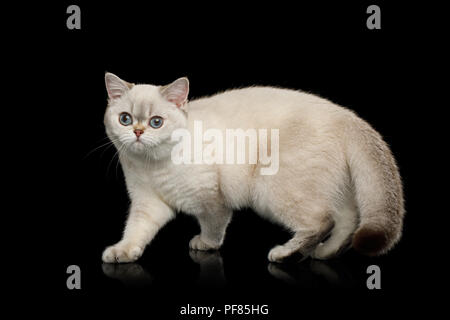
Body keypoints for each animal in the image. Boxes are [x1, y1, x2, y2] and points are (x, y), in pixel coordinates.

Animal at [101, 72, 404, 262]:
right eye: (125, 119)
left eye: (156, 122)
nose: (138, 132)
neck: (152, 166)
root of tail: (348, 116)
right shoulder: (148, 203)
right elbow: (136, 231)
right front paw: (121, 253)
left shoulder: (211, 199)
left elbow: (214, 226)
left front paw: (205, 245)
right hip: (332, 190)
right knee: (346, 221)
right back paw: (324, 253)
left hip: (270, 190)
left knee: (322, 221)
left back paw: (284, 254)